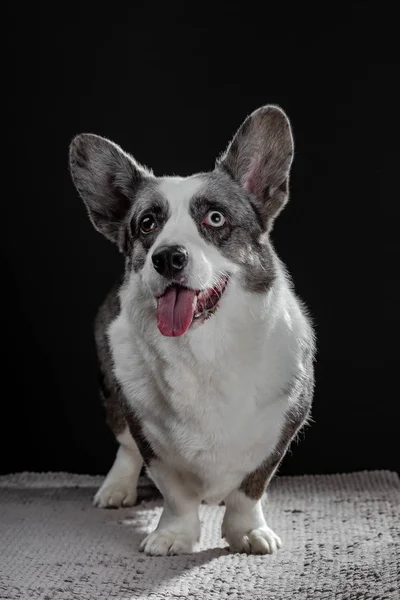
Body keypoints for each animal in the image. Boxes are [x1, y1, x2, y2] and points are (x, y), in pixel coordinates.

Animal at [69, 104, 316, 556]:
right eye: (147, 224)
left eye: (215, 218)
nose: (168, 257)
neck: (204, 348)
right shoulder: (151, 438)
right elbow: (176, 491)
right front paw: (173, 535)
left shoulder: (280, 429)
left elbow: (250, 489)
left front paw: (247, 532)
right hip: (112, 390)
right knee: (125, 448)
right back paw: (116, 488)